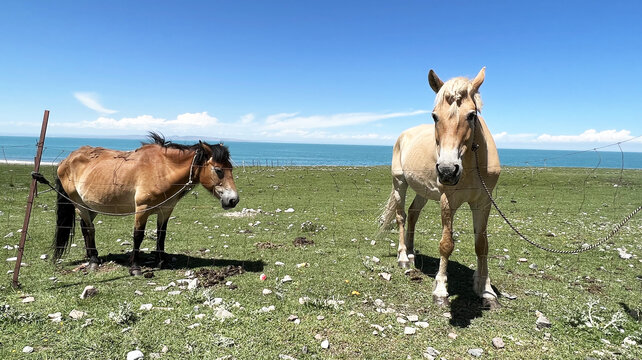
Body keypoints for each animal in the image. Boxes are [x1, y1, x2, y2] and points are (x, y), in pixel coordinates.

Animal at [53, 132, 239, 276]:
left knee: (85, 227)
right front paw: (135, 267)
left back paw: (91, 255)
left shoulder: (165, 210)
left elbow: (161, 235)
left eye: (231, 168)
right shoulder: (142, 209)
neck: (162, 169)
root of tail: (66, 160)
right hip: (79, 205)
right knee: (89, 229)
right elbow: (138, 236)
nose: (233, 200)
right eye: (219, 170)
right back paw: (93, 261)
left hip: (91, 206)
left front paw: (161, 261)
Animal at [380, 68, 500, 310]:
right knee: (401, 216)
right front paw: (441, 290)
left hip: (423, 190)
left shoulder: (483, 202)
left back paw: (411, 253)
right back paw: (403, 257)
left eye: (471, 115)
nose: (447, 170)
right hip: (400, 183)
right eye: (435, 116)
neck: (472, 164)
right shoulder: (448, 201)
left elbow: (482, 244)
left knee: (413, 213)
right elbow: (446, 244)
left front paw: (485, 290)